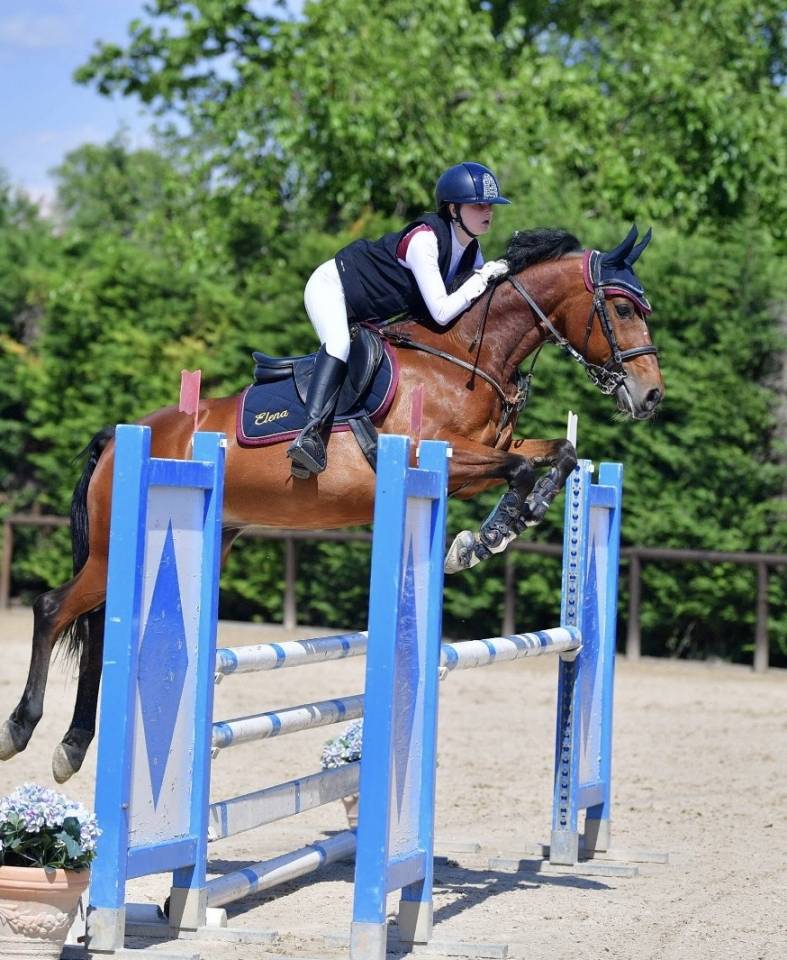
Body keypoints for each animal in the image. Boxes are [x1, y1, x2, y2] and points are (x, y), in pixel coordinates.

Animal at [0, 225, 663, 783]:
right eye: (623, 309)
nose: (651, 396)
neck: (465, 359)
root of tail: (124, 434)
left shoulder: (487, 454)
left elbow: (560, 454)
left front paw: (513, 520)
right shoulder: (438, 455)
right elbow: (524, 466)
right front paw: (482, 540)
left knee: (93, 624)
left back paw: (73, 745)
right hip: (115, 546)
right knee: (53, 608)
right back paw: (22, 730)